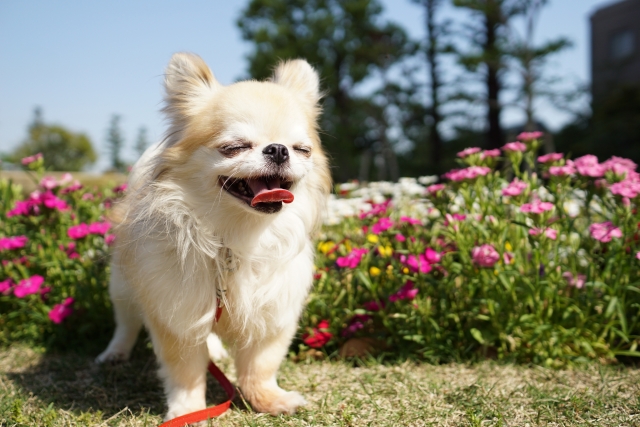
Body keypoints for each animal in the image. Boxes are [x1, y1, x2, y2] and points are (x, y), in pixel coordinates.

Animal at [99, 52, 336, 422]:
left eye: (302, 150)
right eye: (234, 147)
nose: (278, 149)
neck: (238, 235)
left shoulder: (273, 313)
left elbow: (260, 367)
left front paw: (268, 400)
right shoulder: (175, 311)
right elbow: (186, 372)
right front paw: (188, 410)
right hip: (123, 283)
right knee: (125, 321)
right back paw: (114, 353)